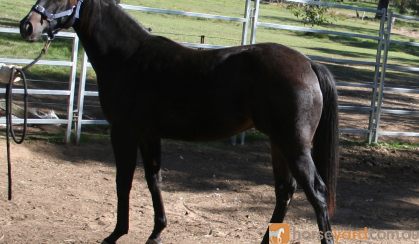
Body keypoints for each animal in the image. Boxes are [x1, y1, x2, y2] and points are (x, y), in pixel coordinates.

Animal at [19, 0, 340, 243]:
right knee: (285, 191)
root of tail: (308, 63)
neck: (128, 57)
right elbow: (153, 179)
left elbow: (123, 181)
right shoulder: (148, 134)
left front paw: (116, 234)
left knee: (316, 193)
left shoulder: (124, 131)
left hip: (294, 145)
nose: (28, 26)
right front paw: (156, 232)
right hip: (278, 143)